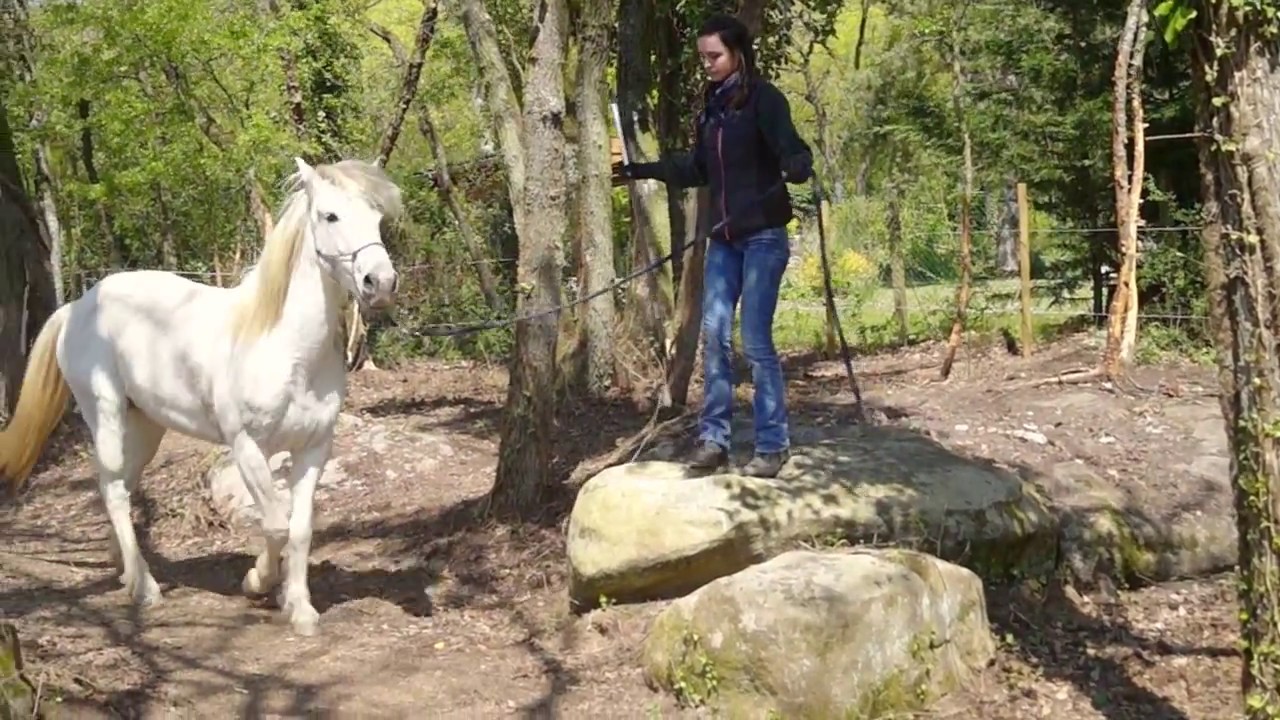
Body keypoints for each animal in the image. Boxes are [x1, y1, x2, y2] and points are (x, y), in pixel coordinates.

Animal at [0, 157, 403, 636]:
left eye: (377, 218)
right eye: (330, 216)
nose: (380, 283)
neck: (286, 347)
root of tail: (77, 307)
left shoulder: (314, 450)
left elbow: (301, 528)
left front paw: (301, 608)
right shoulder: (247, 448)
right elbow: (275, 523)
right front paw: (258, 582)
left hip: (146, 426)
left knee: (118, 487)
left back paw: (126, 571)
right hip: (107, 414)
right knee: (113, 489)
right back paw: (145, 588)